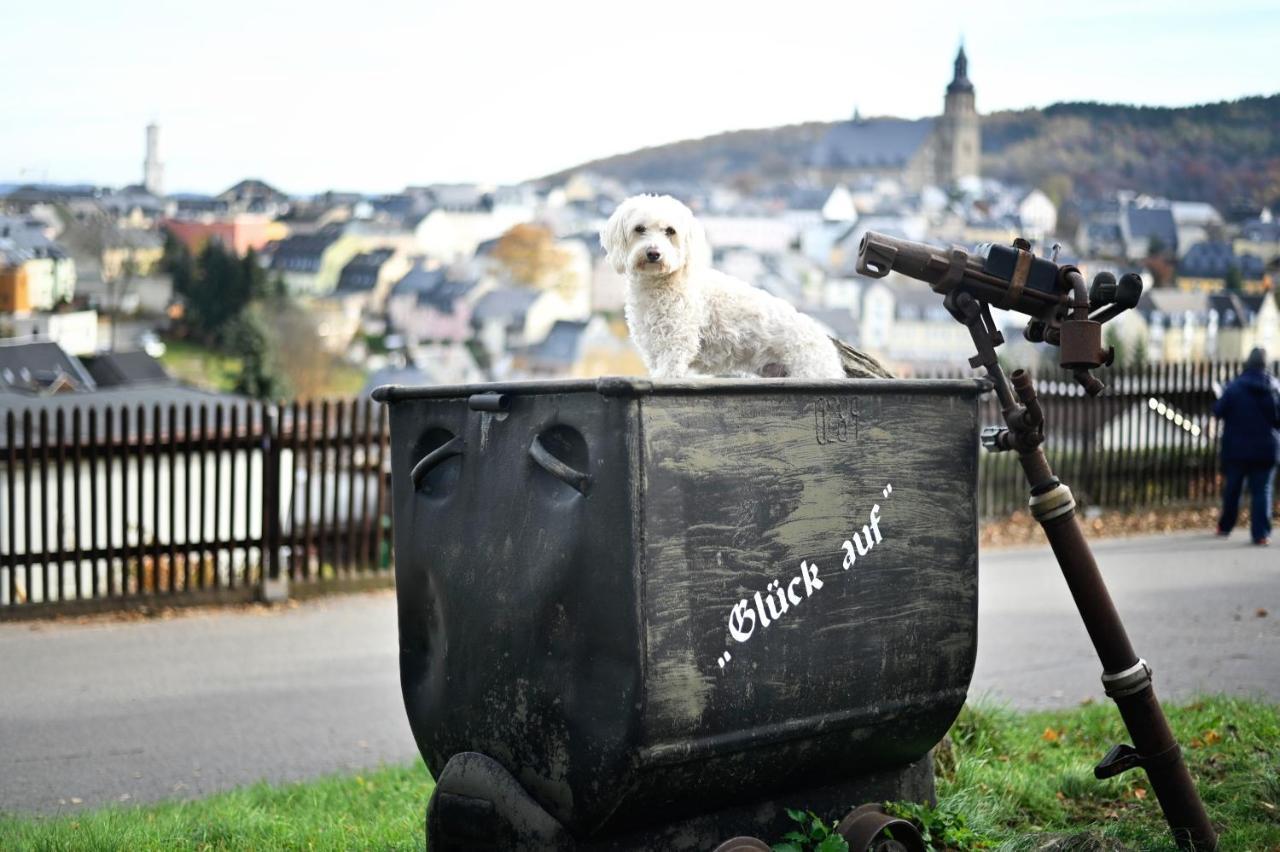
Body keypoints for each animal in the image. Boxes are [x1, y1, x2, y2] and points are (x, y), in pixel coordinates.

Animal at [601, 194, 890, 378]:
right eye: (639, 229)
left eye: (670, 231)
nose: (653, 253)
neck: (663, 283)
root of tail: (827, 344)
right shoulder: (654, 349)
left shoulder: (677, 346)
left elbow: (668, 371)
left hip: (811, 370)